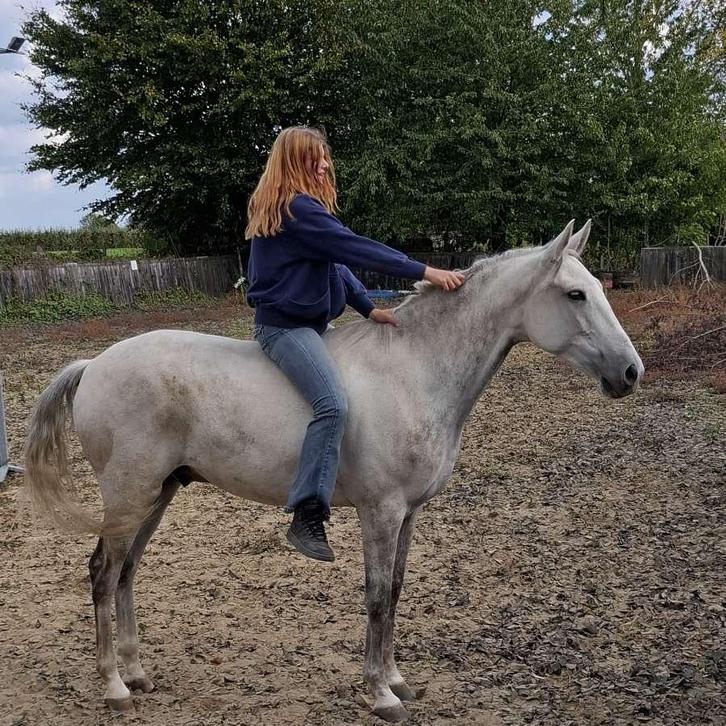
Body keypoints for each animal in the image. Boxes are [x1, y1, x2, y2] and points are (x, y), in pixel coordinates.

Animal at [24, 220, 643, 722]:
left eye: (597, 288)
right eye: (575, 293)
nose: (631, 372)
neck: (412, 370)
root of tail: (95, 365)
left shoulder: (408, 514)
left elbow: (395, 591)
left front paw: (397, 680)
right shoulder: (381, 511)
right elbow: (376, 596)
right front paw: (381, 695)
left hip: (156, 494)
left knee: (126, 572)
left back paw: (135, 673)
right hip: (129, 493)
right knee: (103, 573)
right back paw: (113, 687)